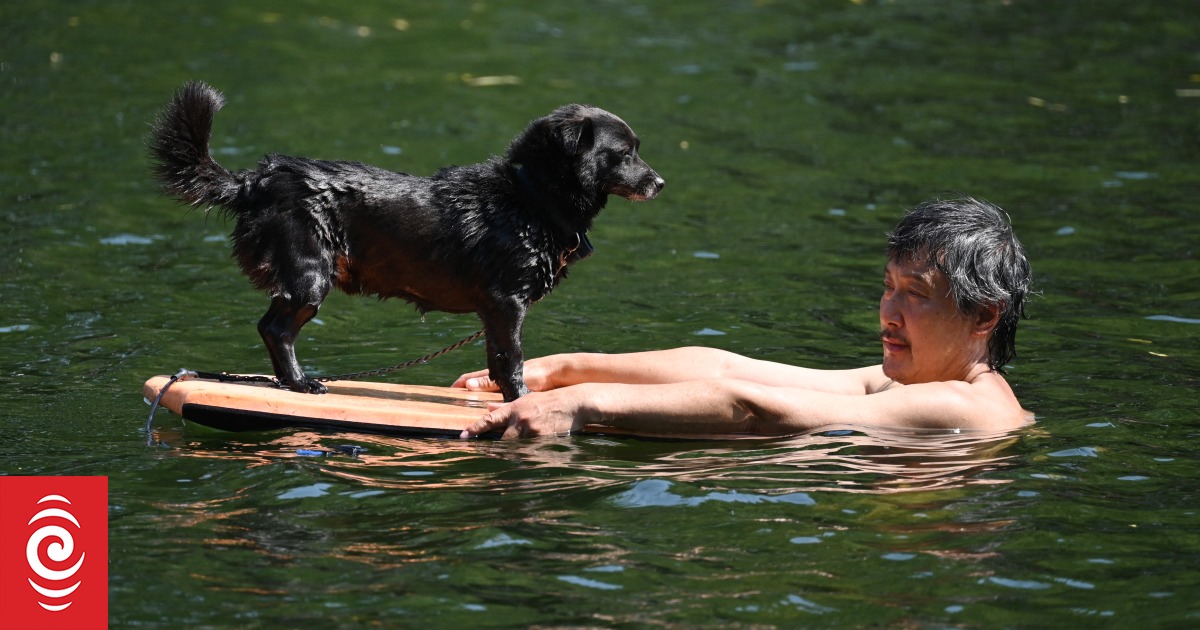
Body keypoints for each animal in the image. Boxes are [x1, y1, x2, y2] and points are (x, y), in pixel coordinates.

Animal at [147, 81, 667, 400]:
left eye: (638, 150)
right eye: (624, 154)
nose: (660, 183)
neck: (530, 198)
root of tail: (258, 180)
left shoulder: (494, 313)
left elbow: (496, 362)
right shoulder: (507, 304)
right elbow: (513, 362)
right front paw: (520, 402)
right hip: (309, 276)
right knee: (275, 329)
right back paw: (301, 384)